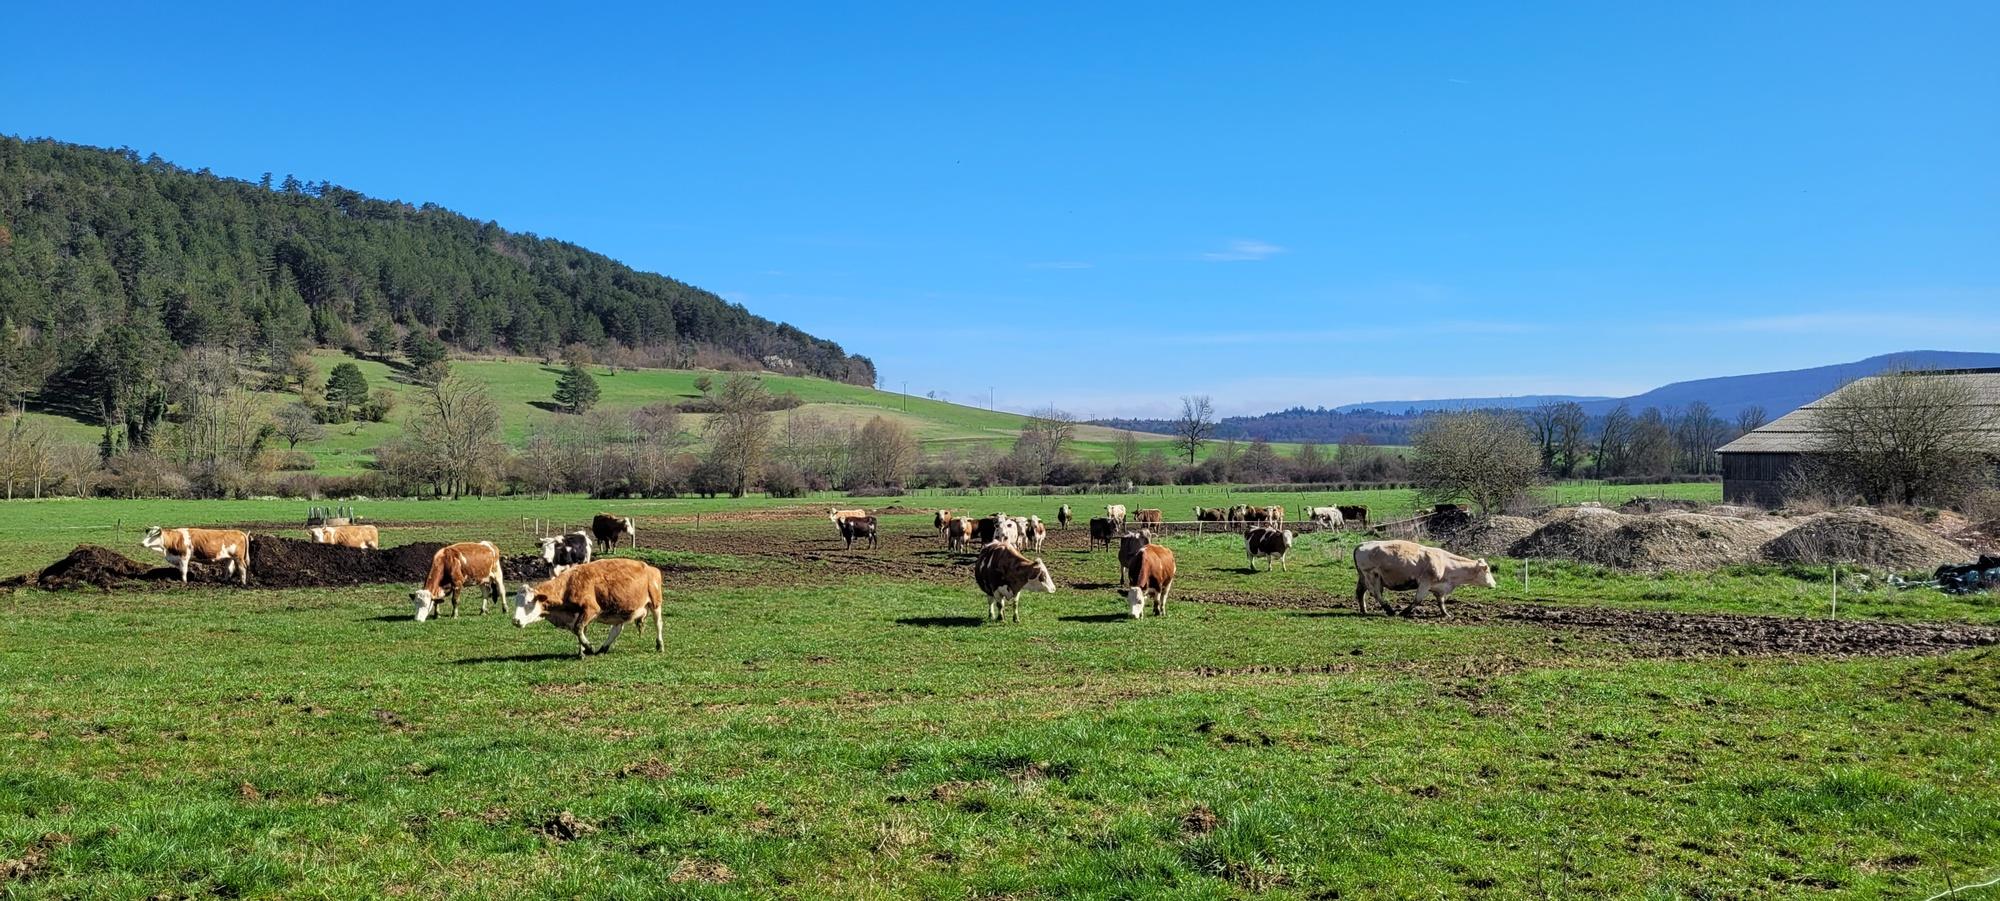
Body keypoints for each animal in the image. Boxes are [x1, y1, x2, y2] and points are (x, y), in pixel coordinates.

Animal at [512, 558, 665, 658]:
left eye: (529, 602)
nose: (515, 621)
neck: (569, 585)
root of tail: (650, 568)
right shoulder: (578, 614)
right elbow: (580, 631)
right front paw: (582, 652)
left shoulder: (591, 610)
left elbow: (578, 629)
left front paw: (588, 647)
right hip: (621, 610)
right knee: (616, 629)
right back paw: (603, 648)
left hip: (655, 603)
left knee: (658, 624)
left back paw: (660, 645)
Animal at [1352, 539, 1495, 618]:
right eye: (1487, 570)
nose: (1494, 584)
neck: (1445, 563)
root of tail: (1362, 544)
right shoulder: (1425, 583)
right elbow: (1418, 600)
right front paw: (1404, 612)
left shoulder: (1439, 588)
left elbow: (1441, 602)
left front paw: (1446, 614)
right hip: (1372, 576)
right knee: (1376, 594)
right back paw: (1389, 610)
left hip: (1363, 578)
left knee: (1360, 592)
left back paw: (1364, 610)